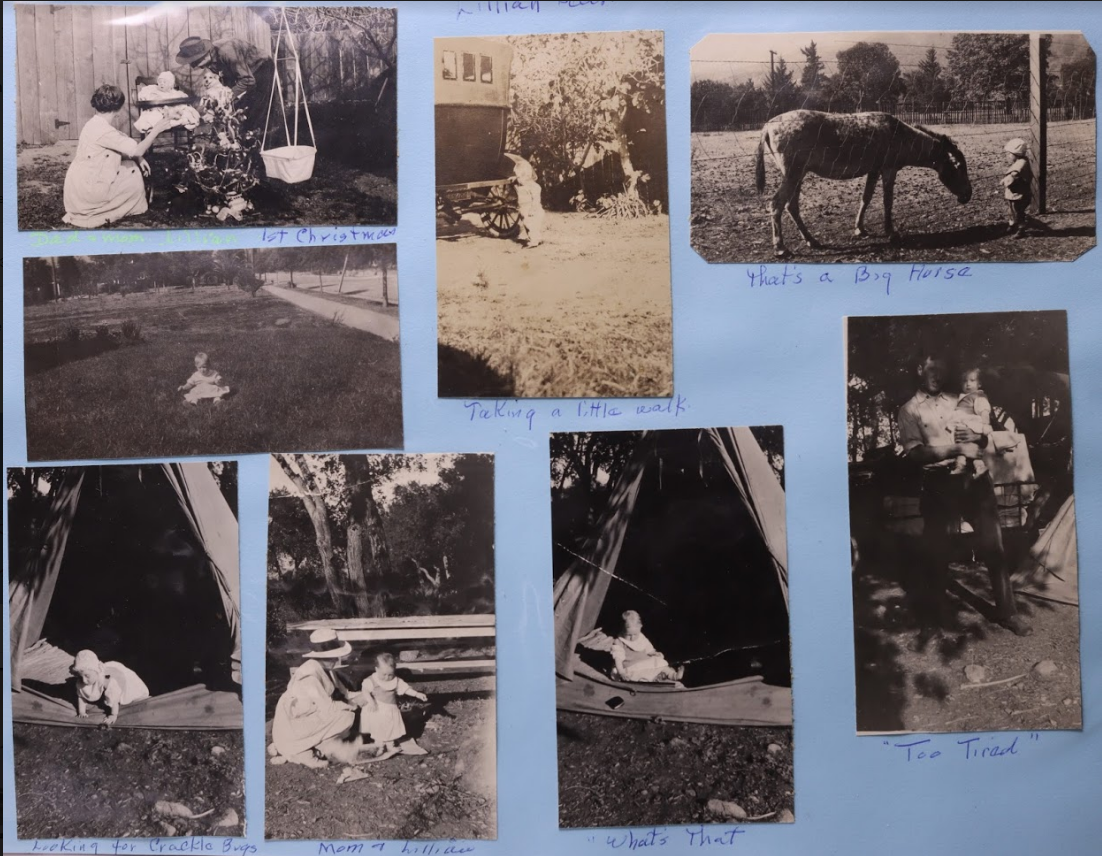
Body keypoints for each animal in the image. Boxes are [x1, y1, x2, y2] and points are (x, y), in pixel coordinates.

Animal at [749, 108, 974, 253]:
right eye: (960, 167)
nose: (967, 195)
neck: (900, 135)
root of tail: (767, 127)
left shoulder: (873, 171)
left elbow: (866, 199)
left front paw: (860, 228)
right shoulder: (888, 170)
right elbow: (887, 201)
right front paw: (891, 232)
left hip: (799, 175)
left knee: (791, 206)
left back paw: (812, 240)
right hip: (793, 174)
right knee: (776, 204)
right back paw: (781, 248)